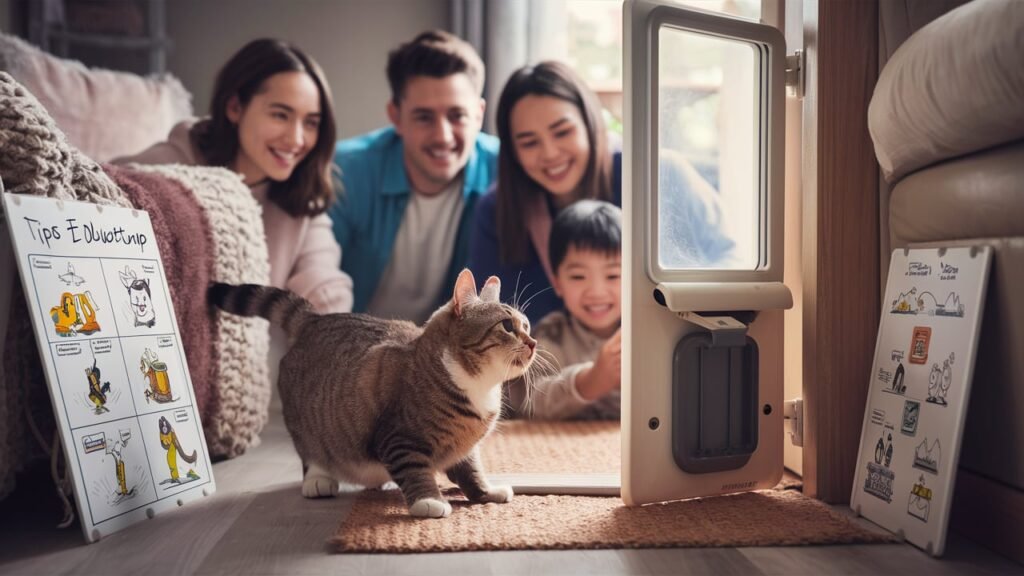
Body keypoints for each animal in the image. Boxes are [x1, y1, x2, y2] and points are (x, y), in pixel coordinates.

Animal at [207, 268, 536, 516]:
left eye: (527, 325)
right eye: (507, 326)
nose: (533, 343)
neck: (480, 388)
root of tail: (315, 319)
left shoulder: (464, 448)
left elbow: (473, 472)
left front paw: (486, 492)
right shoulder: (398, 437)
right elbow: (415, 470)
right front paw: (429, 500)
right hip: (305, 424)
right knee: (309, 453)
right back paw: (318, 480)